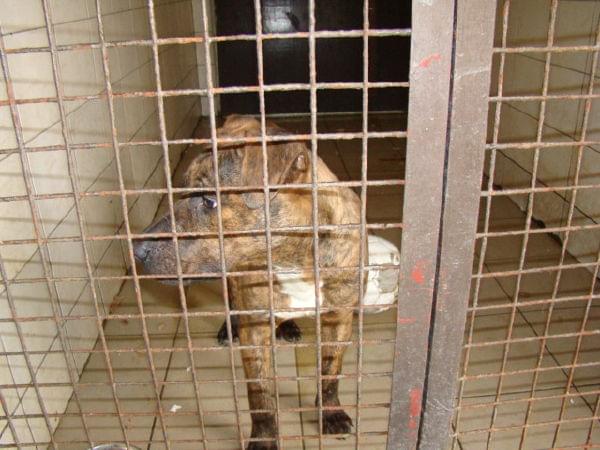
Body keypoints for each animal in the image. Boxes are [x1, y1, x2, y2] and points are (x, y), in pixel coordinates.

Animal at [133, 115, 399, 449]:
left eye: (210, 200)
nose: (136, 250)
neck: (293, 257)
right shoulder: (256, 329)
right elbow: (260, 394)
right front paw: (264, 439)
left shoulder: (339, 318)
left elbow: (330, 371)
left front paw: (330, 412)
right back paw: (231, 327)